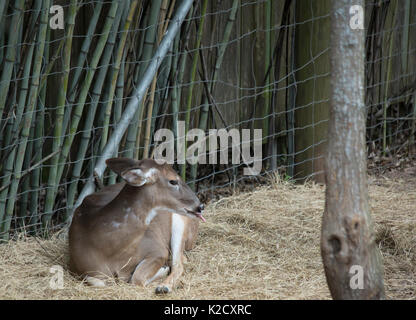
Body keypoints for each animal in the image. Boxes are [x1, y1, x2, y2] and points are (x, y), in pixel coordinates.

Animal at [69, 158, 206, 292]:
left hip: (181, 222)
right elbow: (99, 282)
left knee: (179, 263)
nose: (200, 206)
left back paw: (163, 286)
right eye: (173, 181)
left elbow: (137, 278)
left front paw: (163, 269)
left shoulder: (157, 248)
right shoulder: (79, 268)